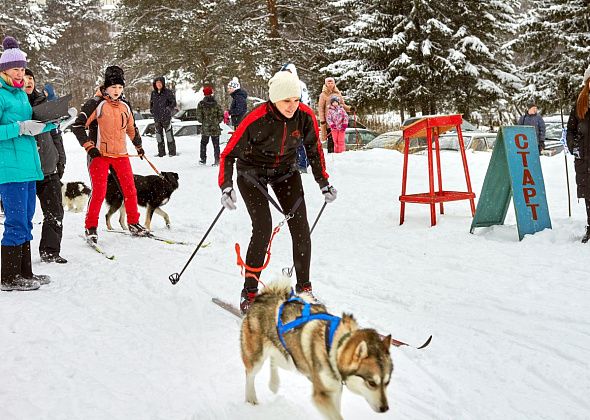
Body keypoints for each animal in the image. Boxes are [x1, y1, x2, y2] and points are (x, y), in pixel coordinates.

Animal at [240, 278, 394, 420]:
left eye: (387, 382)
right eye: (372, 383)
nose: (385, 408)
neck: (335, 346)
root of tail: (263, 296)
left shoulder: (334, 390)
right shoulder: (321, 395)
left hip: (292, 359)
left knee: (274, 360)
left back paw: (274, 383)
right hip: (257, 357)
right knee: (250, 373)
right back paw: (251, 398)